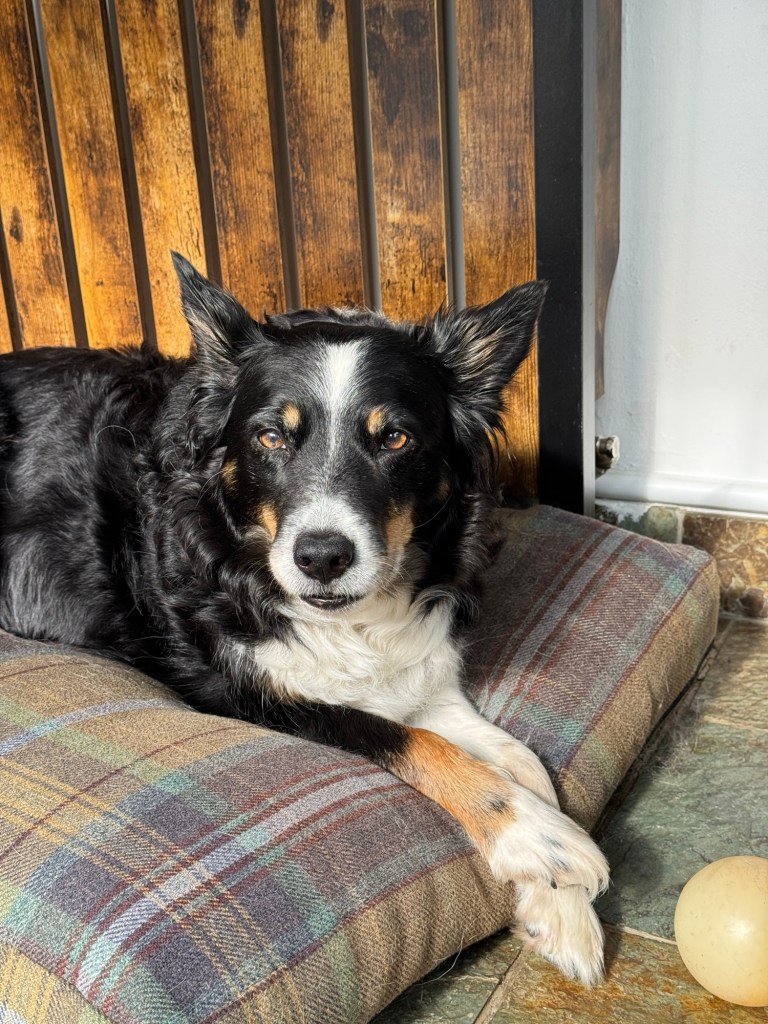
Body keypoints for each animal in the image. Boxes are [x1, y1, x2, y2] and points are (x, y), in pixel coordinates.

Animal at [0, 254, 608, 984]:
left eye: (394, 437)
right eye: (270, 436)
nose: (321, 557)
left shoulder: (424, 678)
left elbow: (524, 762)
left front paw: (561, 906)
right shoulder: (246, 694)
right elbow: (412, 741)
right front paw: (543, 842)